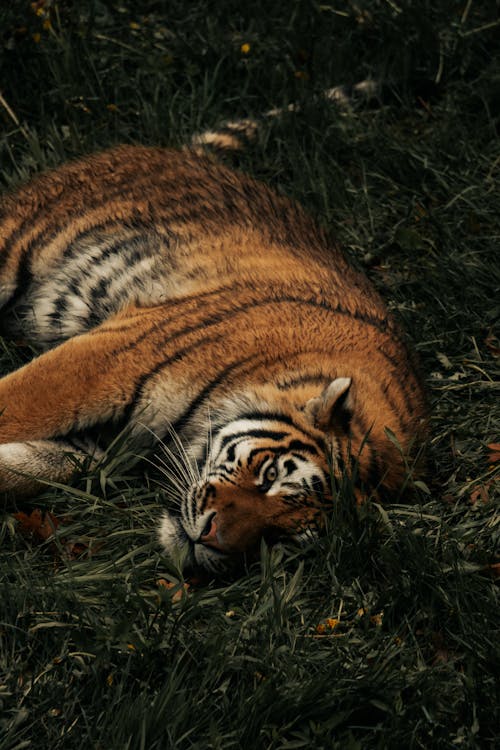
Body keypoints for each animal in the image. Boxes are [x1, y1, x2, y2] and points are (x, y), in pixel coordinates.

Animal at [0, 123, 426, 572]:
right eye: (271, 477)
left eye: (285, 537)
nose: (211, 539)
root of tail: (173, 152)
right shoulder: (108, 361)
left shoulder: (96, 446)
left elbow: (29, 468)